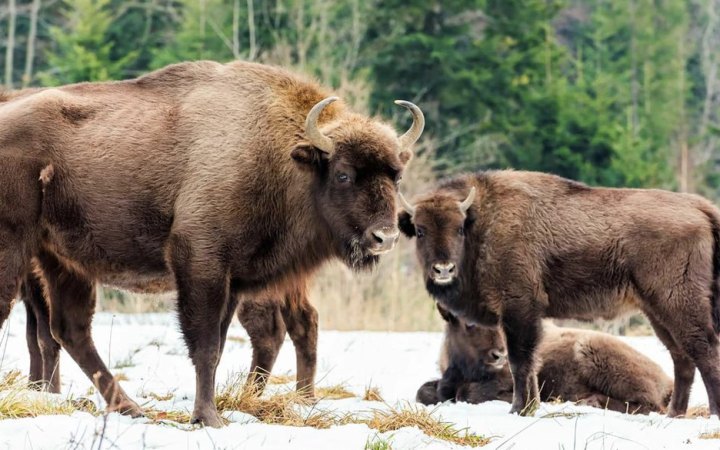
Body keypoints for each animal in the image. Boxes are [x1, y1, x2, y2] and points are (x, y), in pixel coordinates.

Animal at [0, 60, 422, 426]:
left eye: (397, 175)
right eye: (343, 174)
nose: (385, 236)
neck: (276, 153)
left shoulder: (233, 280)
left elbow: (217, 347)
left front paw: (210, 413)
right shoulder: (201, 264)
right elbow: (204, 346)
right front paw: (209, 418)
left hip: (62, 260)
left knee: (70, 330)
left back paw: (131, 408)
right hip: (18, 249)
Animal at [400, 171, 720, 416]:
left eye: (458, 228)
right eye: (420, 230)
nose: (443, 269)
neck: (484, 221)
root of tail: (700, 207)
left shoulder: (519, 308)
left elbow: (520, 362)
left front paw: (519, 409)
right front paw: (528, 407)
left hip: (678, 303)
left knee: (703, 350)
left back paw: (712, 413)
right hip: (656, 311)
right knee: (682, 358)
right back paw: (674, 414)